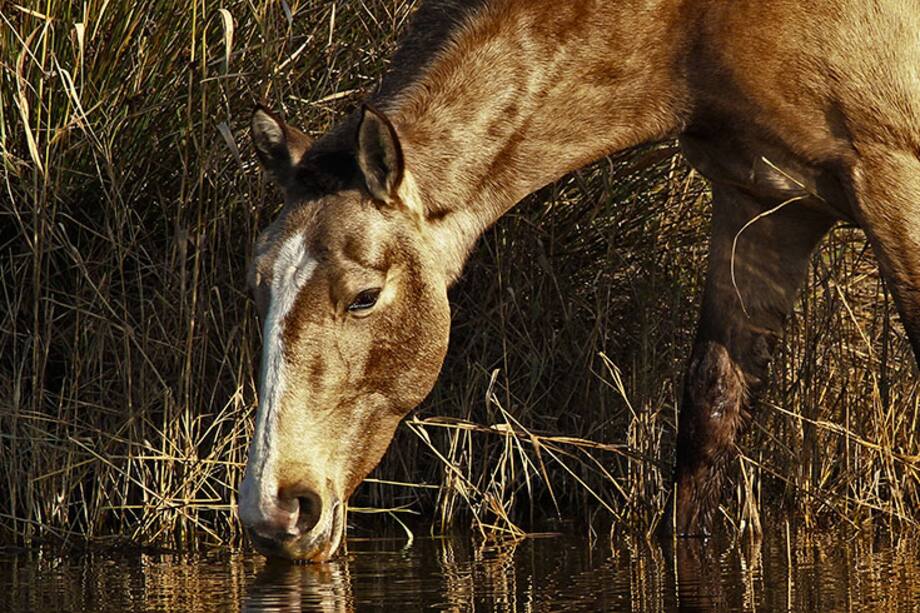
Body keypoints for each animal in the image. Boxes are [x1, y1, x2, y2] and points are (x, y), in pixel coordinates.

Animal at [239, 0, 920, 560]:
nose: (275, 510)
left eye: (365, 297)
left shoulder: (893, 178)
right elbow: (710, 411)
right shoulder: (762, 204)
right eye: (258, 287)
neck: (695, 24)